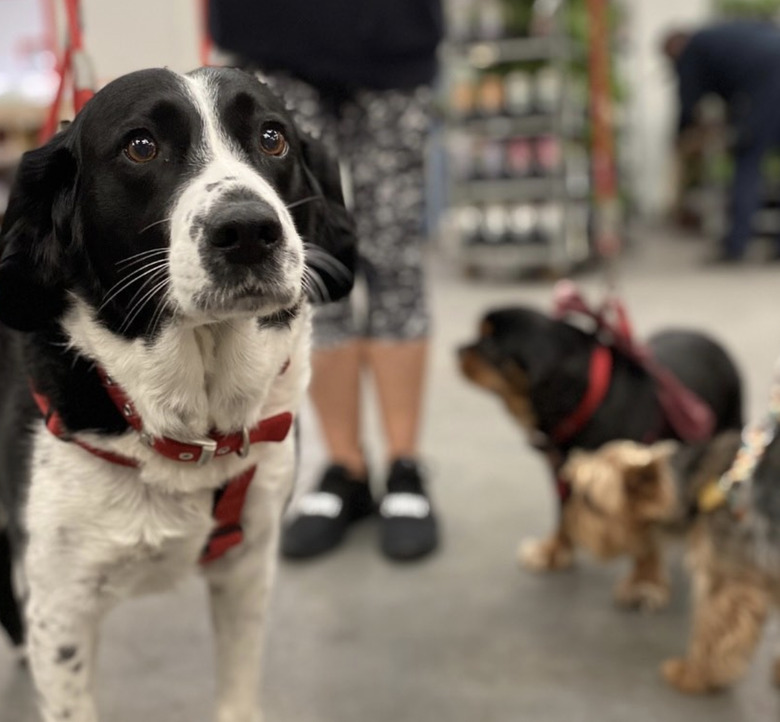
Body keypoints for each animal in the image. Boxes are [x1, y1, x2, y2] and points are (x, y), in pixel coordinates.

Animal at [0, 67, 356, 720]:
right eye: (141, 146)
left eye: (273, 137)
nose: (249, 231)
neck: (190, 433)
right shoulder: (62, 609)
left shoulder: (247, 568)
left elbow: (238, 692)